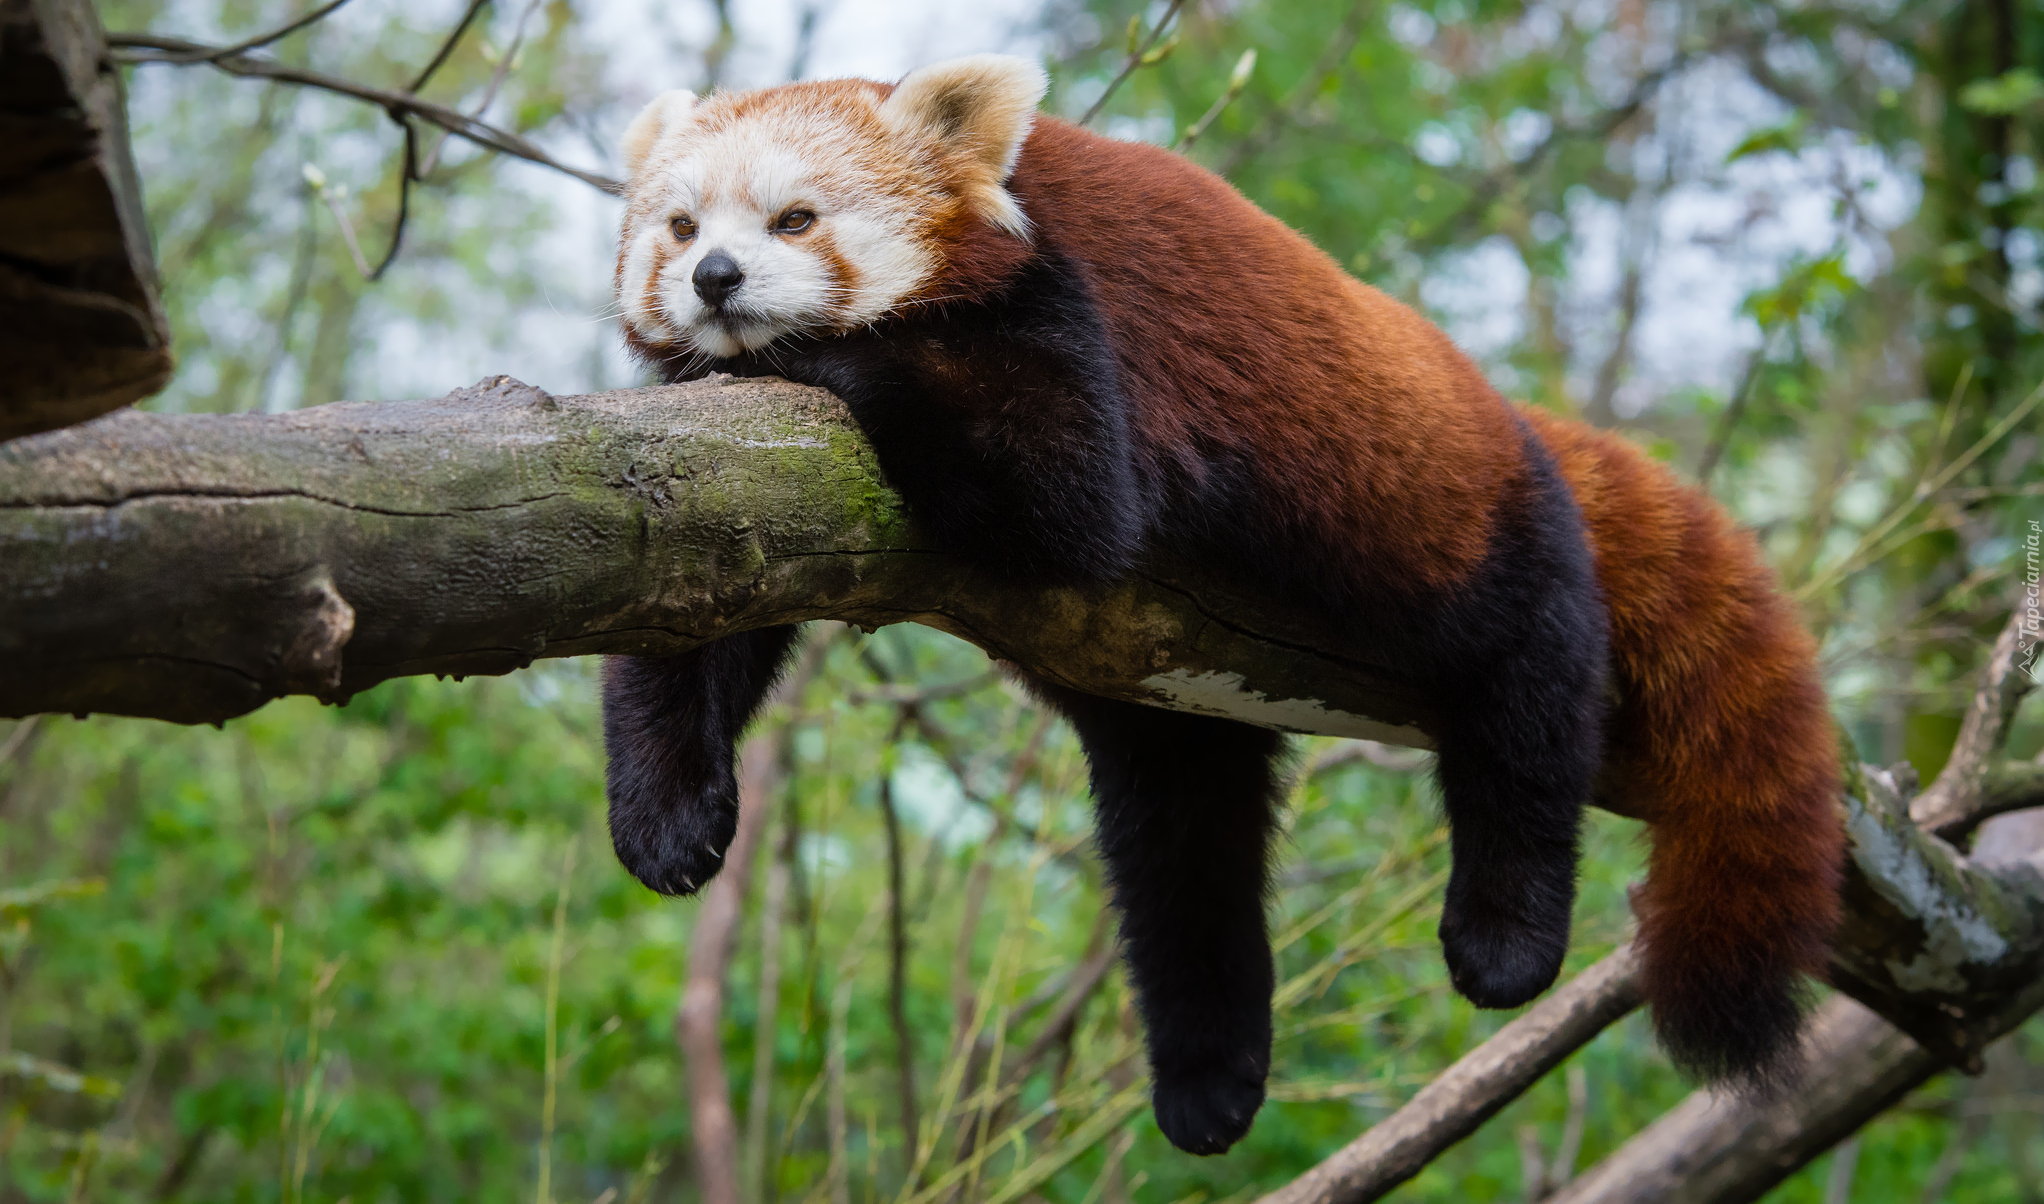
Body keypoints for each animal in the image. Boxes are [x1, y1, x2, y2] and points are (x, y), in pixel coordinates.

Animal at [596, 56, 1847, 1152]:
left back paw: (1505, 932)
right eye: (680, 228)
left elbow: (1059, 493)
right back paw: (1208, 1077)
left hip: (1453, 521)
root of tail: (1517, 422)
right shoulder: (753, 494)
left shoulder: (1071, 317)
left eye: (795, 219)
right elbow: (691, 616)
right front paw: (668, 817)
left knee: (1527, 688)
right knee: (1180, 851)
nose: (715, 280)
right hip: (1177, 698)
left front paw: (818, 349)